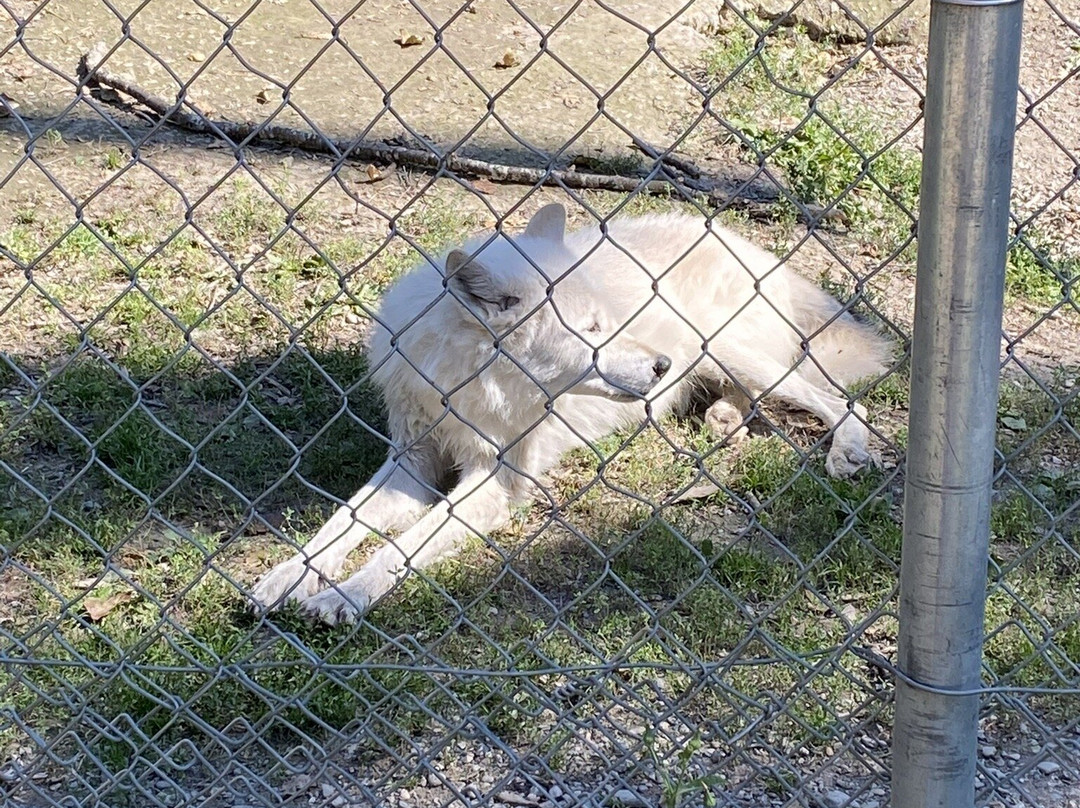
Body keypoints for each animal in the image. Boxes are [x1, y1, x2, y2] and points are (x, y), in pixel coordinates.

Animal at [250, 203, 892, 624]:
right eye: (591, 329)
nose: (660, 364)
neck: (468, 384)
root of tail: (750, 246)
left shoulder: (498, 480)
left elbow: (399, 548)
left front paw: (342, 597)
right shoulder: (411, 462)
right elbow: (340, 523)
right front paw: (285, 577)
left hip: (729, 348)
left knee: (840, 397)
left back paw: (846, 452)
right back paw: (724, 420)